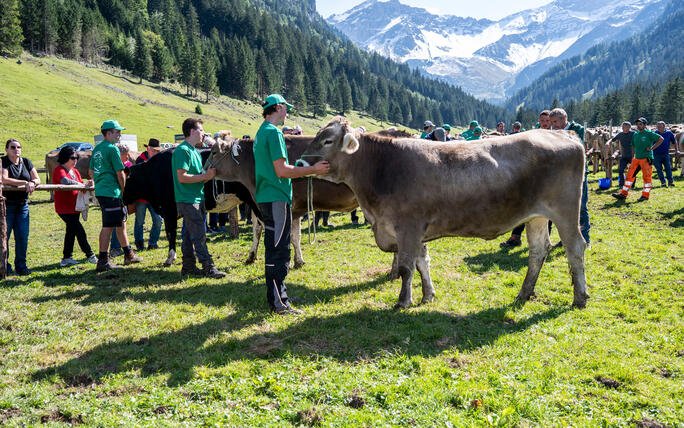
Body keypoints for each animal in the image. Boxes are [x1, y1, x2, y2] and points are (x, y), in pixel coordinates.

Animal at [123, 149, 260, 266]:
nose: (122, 202)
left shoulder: (169, 210)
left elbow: (171, 233)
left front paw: (170, 258)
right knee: (257, 227)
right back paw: (251, 257)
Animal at [296, 116, 592, 308]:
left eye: (328, 140)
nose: (298, 162)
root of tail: (564, 134)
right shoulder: (416, 231)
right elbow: (422, 263)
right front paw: (428, 295)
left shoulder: (408, 226)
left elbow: (406, 267)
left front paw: (403, 301)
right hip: (536, 216)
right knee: (539, 250)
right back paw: (524, 293)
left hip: (565, 211)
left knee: (575, 246)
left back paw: (579, 297)